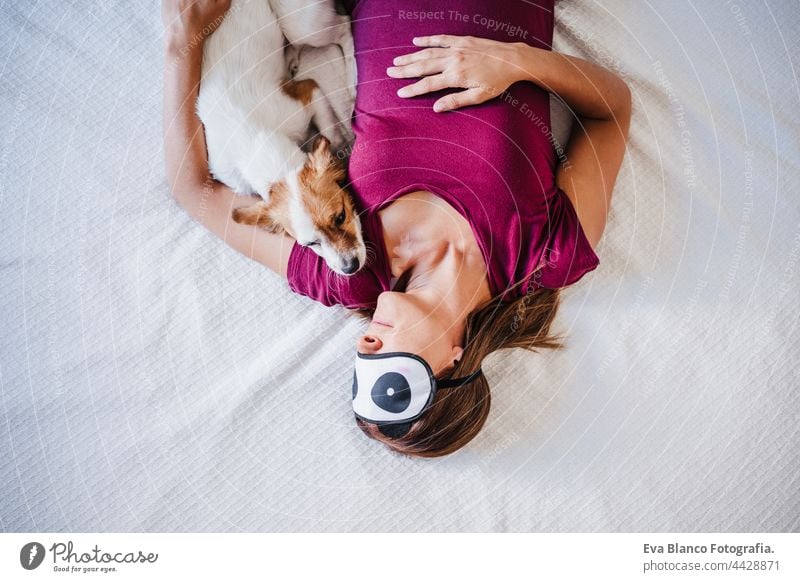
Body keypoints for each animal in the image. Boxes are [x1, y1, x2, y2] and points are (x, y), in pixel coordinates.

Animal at [197, 0, 366, 276]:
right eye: (310, 244)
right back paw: (291, 58)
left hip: (299, 23)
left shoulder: (308, 93)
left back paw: (352, 74)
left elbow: (331, 133)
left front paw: (343, 151)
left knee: (343, 27)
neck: (254, 140)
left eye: (341, 216)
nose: (350, 267)